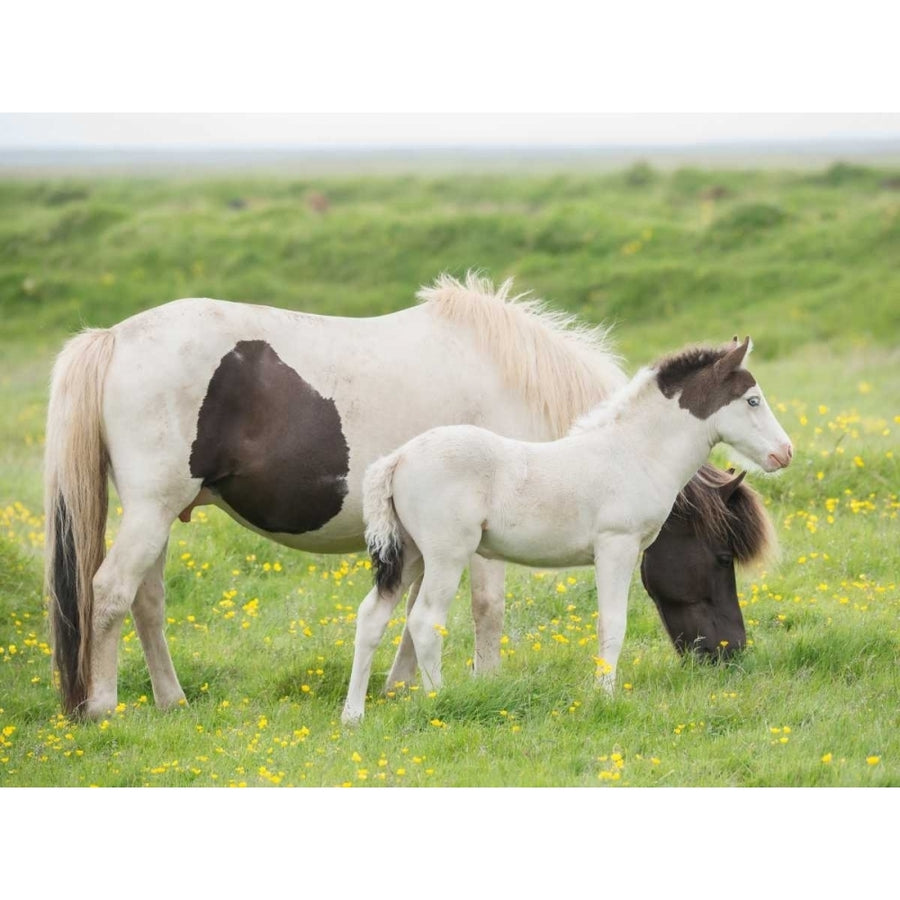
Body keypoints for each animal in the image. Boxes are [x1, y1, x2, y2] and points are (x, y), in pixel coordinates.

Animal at [342, 338, 792, 724]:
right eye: (752, 400)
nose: (785, 453)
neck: (633, 453)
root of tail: (398, 458)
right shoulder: (616, 547)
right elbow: (612, 624)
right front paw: (604, 696)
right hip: (446, 555)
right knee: (424, 621)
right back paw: (440, 699)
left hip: (411, 554)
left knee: (372, 616)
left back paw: (353, 716)